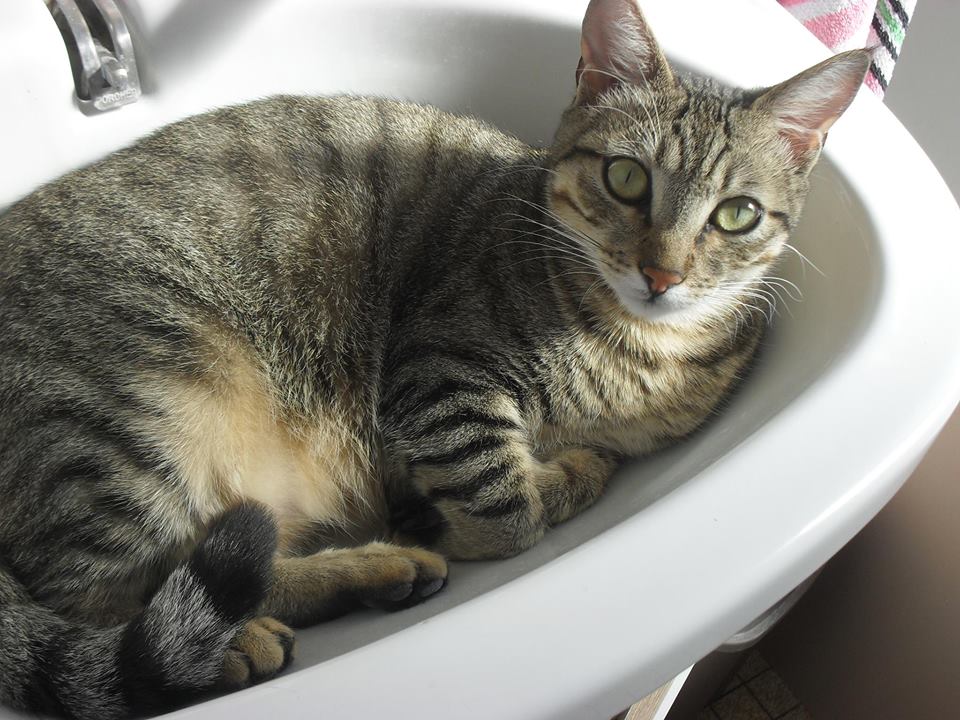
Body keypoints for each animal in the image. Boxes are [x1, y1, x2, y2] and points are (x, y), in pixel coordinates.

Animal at [0, 0, 872, 716]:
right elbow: (510, 511)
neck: (634, 356)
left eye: (737, 215)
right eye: (626, 178)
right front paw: (518, 491)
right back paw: (258, 632)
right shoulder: (439, 374)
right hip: (144, 404)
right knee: (106, 601)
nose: (663, 274)